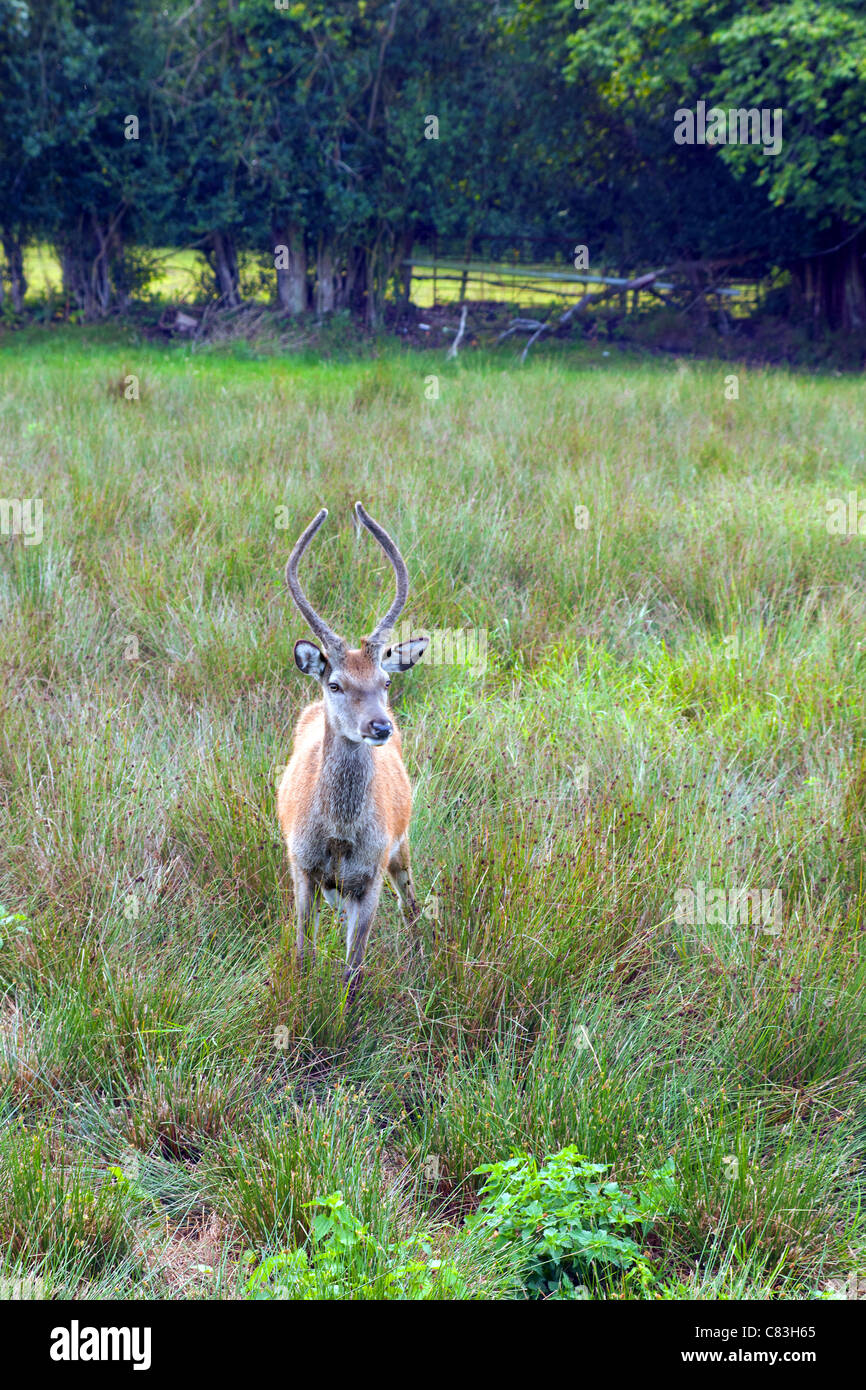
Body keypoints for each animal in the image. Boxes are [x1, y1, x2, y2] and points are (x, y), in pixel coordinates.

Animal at [278, 505, 430, 995]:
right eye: (336, 684)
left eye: (385, 681)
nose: (380, 726)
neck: (339, 836)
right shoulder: (301, 867)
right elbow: (302, 954)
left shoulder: (370, 873)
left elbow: (353, 971)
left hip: (400, 846)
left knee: (412, 905)